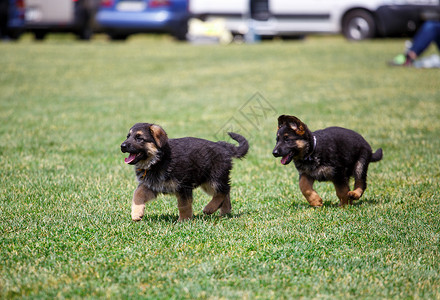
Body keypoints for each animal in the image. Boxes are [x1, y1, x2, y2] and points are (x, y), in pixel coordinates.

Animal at [120, 123, 249, 221]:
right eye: (128, 136)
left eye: (139, 138)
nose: (122, 146)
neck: (158, 160)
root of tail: (223, 146)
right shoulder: (151, 185)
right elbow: (137, 194)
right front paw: (136, 213)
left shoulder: (183, 186)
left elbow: (184, 205)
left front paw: (184, 220)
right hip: (207, 182)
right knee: (225, 192)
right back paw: (224, 212)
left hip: (214, 178)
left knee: (224, 190)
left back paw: (210, 208)